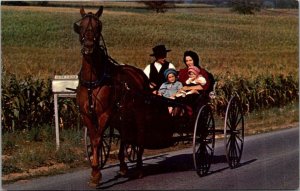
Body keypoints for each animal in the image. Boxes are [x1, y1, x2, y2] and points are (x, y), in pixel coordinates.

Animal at [74, 7, 175, 187]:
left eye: (99, 26)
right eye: (82, 25)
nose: (89, 47)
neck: (94, 80)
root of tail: (139, 74)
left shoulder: (105, 114)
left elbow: (97, 140)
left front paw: (96, 174)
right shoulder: (87, 115)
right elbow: (94, 139)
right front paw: (95, 171)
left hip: (138, 114)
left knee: (139, 136)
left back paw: (139, 168)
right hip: (122, 116)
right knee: (125, 136)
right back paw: (122, 166)